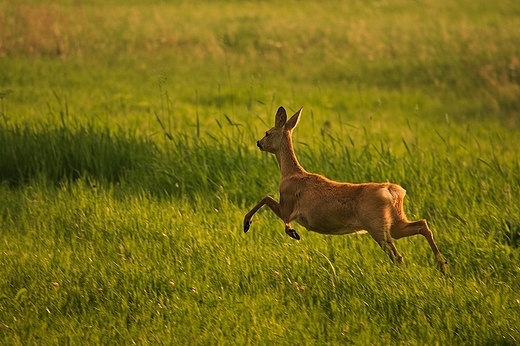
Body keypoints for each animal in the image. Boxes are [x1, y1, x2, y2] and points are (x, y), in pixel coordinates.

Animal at [242, 105, 448, 274]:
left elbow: (266, 199)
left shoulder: (287, 203)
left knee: (398, 256)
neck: (290, 173)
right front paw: (291, 232)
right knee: (421, 225)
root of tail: (392, 191)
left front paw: (248, 224)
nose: (258, 142)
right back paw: (443, 265)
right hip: (394, 221)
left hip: (376, 224)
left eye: (267, 132)